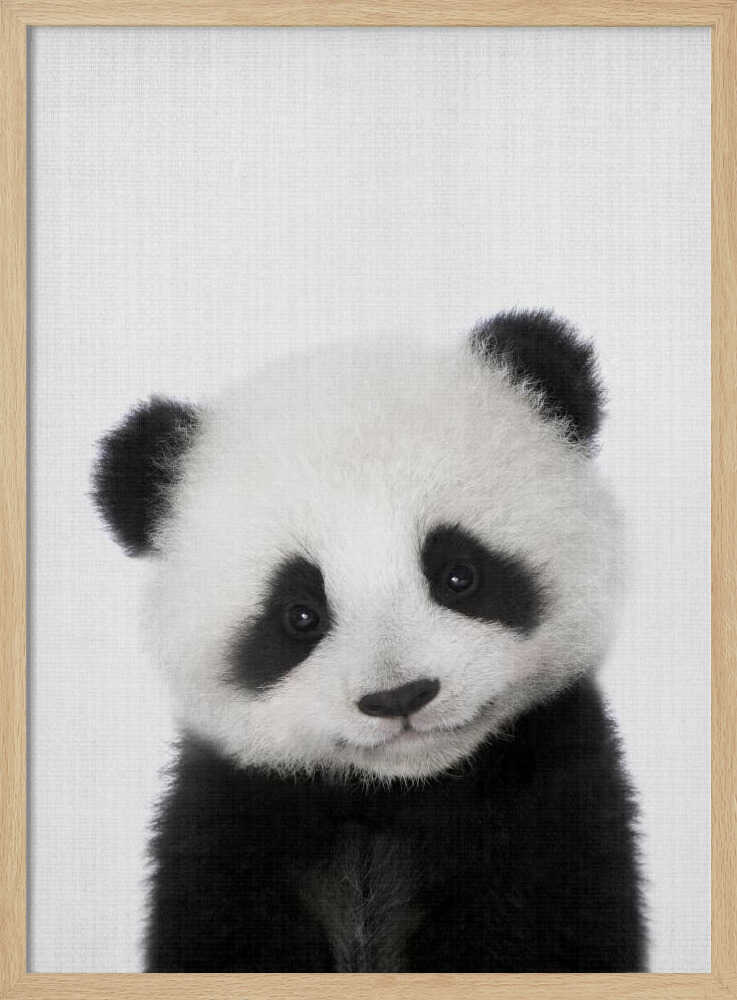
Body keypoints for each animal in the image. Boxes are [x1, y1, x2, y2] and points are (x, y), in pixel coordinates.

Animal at [92, 309, 645, 973]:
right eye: (300, 614)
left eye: (458, 574)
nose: (400, 697)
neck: (394, 796)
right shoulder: (231, 824)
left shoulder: (550, 804)